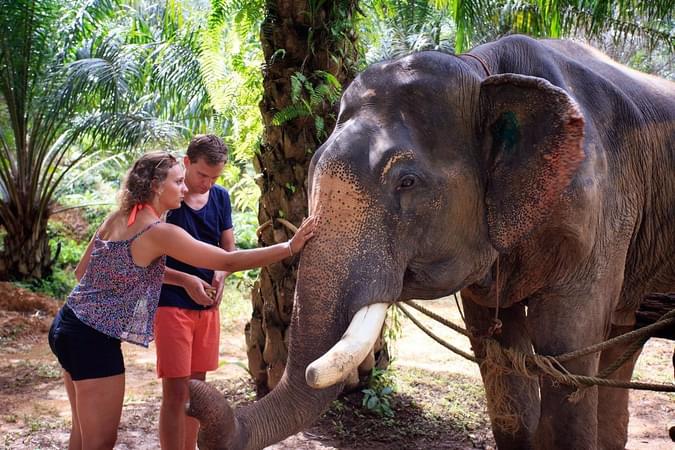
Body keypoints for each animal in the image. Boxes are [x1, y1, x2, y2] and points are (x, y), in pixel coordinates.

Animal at [188, 35, 675, 450]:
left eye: (407, 182)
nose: (195, 397)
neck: (481, 73)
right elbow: (500, 363)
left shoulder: (602, 210)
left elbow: (566, 350)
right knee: (623, 339)